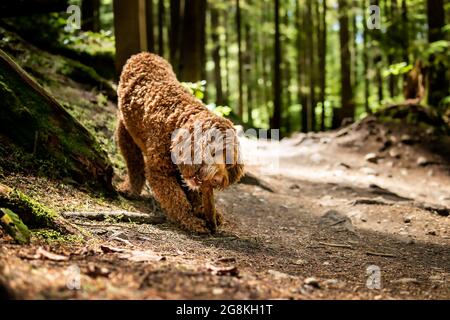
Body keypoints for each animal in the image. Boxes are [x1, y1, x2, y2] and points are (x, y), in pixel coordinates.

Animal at [116, 52, 243, 232]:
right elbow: (176, 199)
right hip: (125, 131)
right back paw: (130, 189)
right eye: (213, 151)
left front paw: (207, 212)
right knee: (134, 163)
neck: (177, 118)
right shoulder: (160, 172)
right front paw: (190, 220)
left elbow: (194, 192)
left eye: (229, 162)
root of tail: (144, 54)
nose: (218, 180)